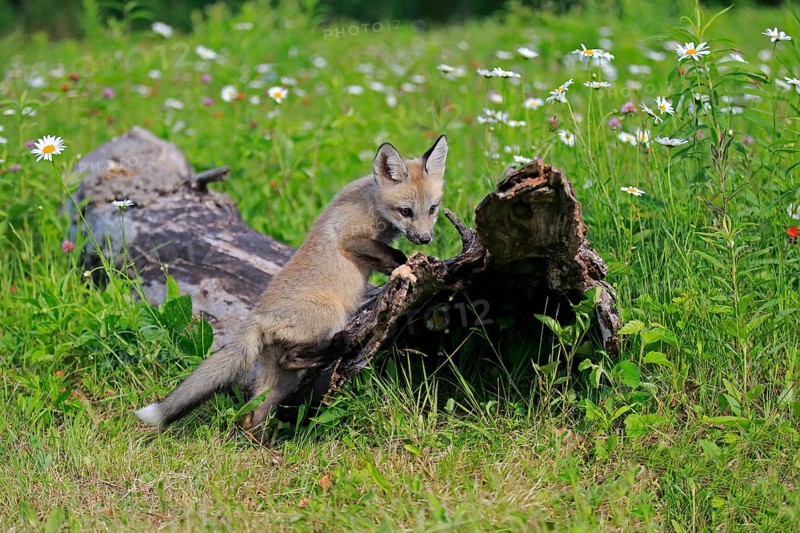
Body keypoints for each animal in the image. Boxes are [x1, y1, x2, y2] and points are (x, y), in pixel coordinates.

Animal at [135, 134, 448, 442]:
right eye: (405, 211)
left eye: (432, 209)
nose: (425, 238)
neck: (371, 204)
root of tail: (256, 317)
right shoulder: (350, 239)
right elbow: (394, 256)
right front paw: (407, 267)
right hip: (330, 314)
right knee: (292, 359)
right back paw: (339, 347)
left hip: (278, 382)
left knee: (255, 414)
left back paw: (264, 446)